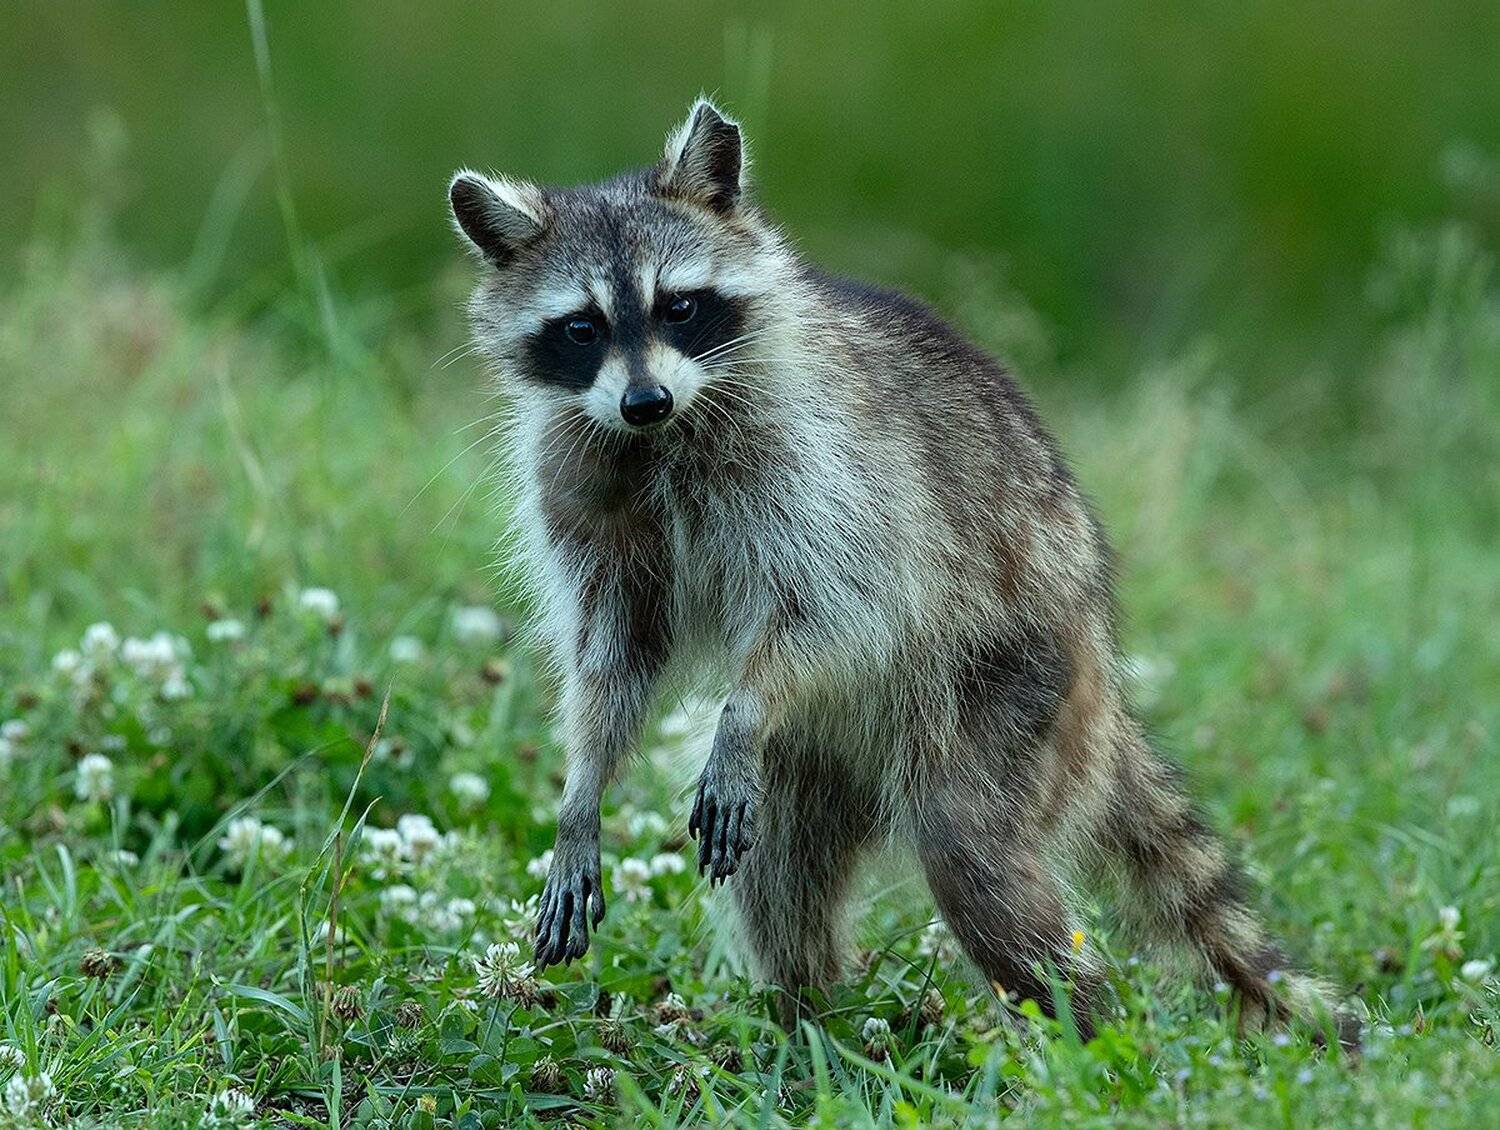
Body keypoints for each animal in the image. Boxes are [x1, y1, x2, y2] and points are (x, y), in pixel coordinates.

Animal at [447, 99, 1356, 1046]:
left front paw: (742, 710)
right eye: (581, 328)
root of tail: (1104, 672)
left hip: (1010, 682)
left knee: (972, 853)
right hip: (818, 754)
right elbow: (615, 652)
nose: (644, 400)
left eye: (681, 306)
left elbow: (837, 604)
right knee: (782, 870)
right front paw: (581, 788)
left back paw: (1086, 1032)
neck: (662, 433)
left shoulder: (826, 470)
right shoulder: (582, 481)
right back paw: (804, 1016)